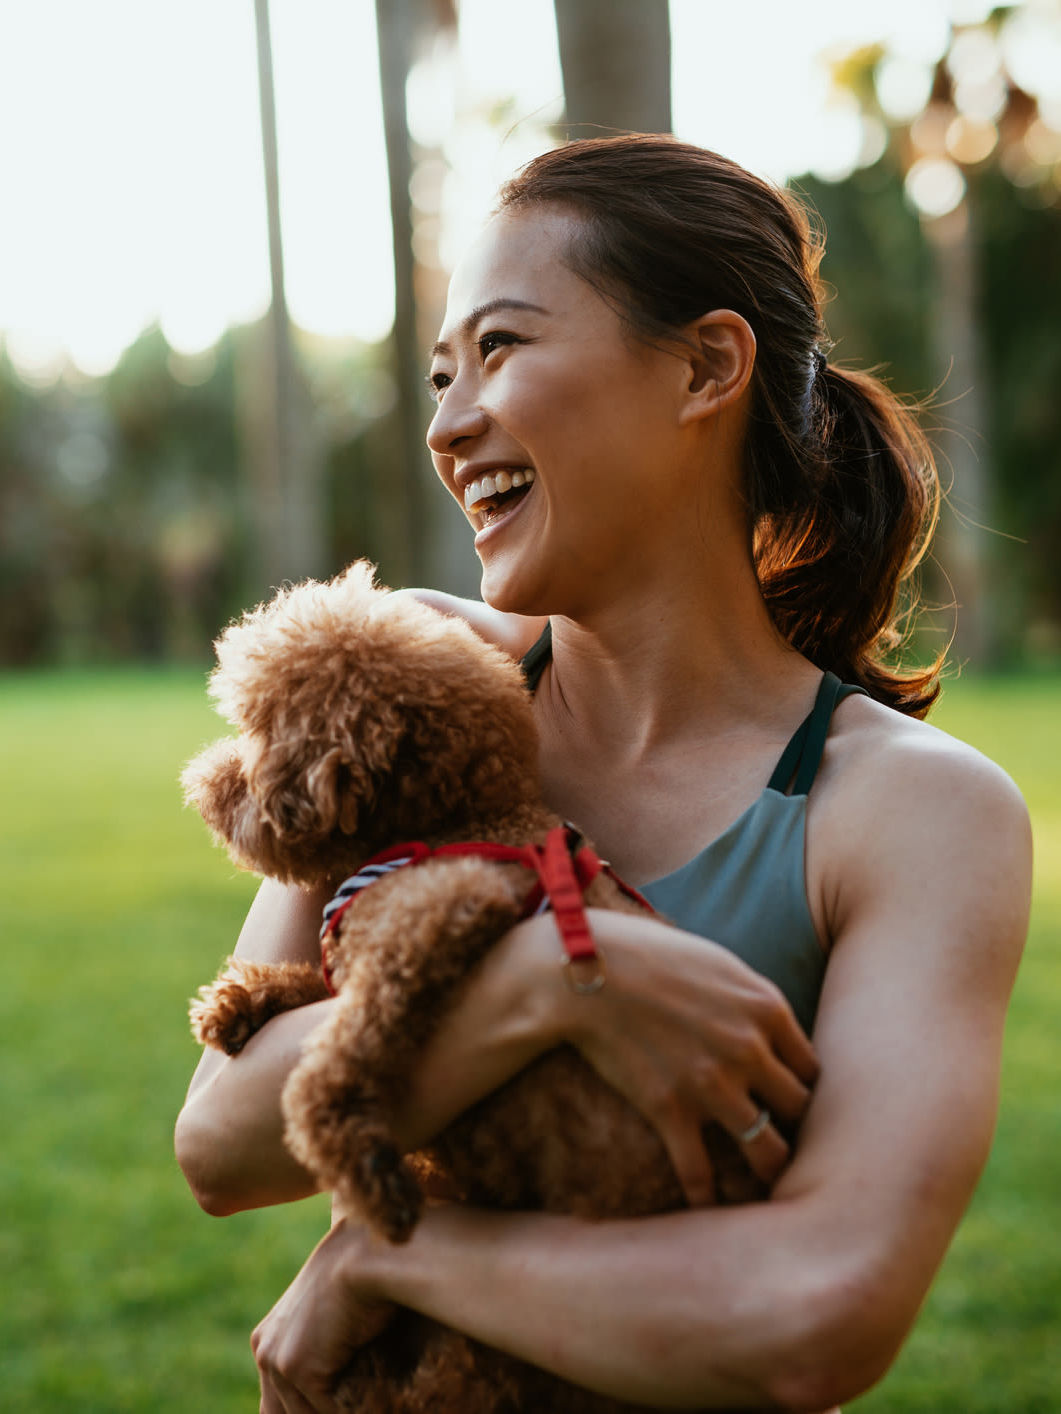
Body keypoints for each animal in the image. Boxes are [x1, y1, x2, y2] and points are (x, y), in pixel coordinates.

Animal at [182, 562, 763, 1414]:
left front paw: (358, 1162)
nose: (201, 780)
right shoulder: (368, 937)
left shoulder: (441, 913)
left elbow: (338, 1055)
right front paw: (239, 1001)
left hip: (508, 1333)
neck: (449, 824)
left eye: (259, 734)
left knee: (447, 1381)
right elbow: (323, 984)